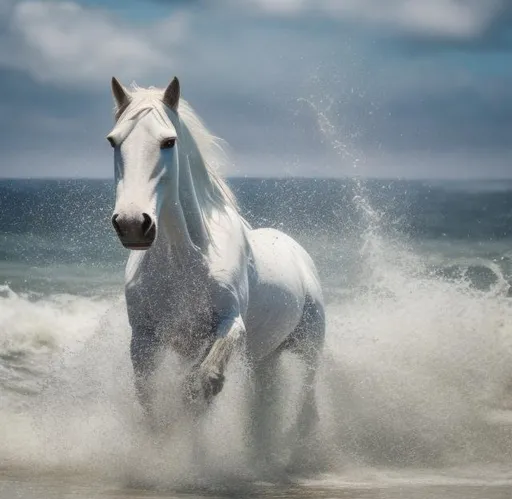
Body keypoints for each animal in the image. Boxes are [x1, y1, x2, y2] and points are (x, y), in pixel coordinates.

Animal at [106, 76, 326, 466]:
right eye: (113, 140)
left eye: (168, 141)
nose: (132, 224)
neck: (185, 259)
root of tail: (296, 249)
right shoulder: (145, 337)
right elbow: (148, 394)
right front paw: (160, 447)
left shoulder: (229, 324)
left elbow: (203, 383)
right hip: (265, 356)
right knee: (263, 398)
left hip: (310, 343)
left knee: (308, 394)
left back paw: (296, 446)